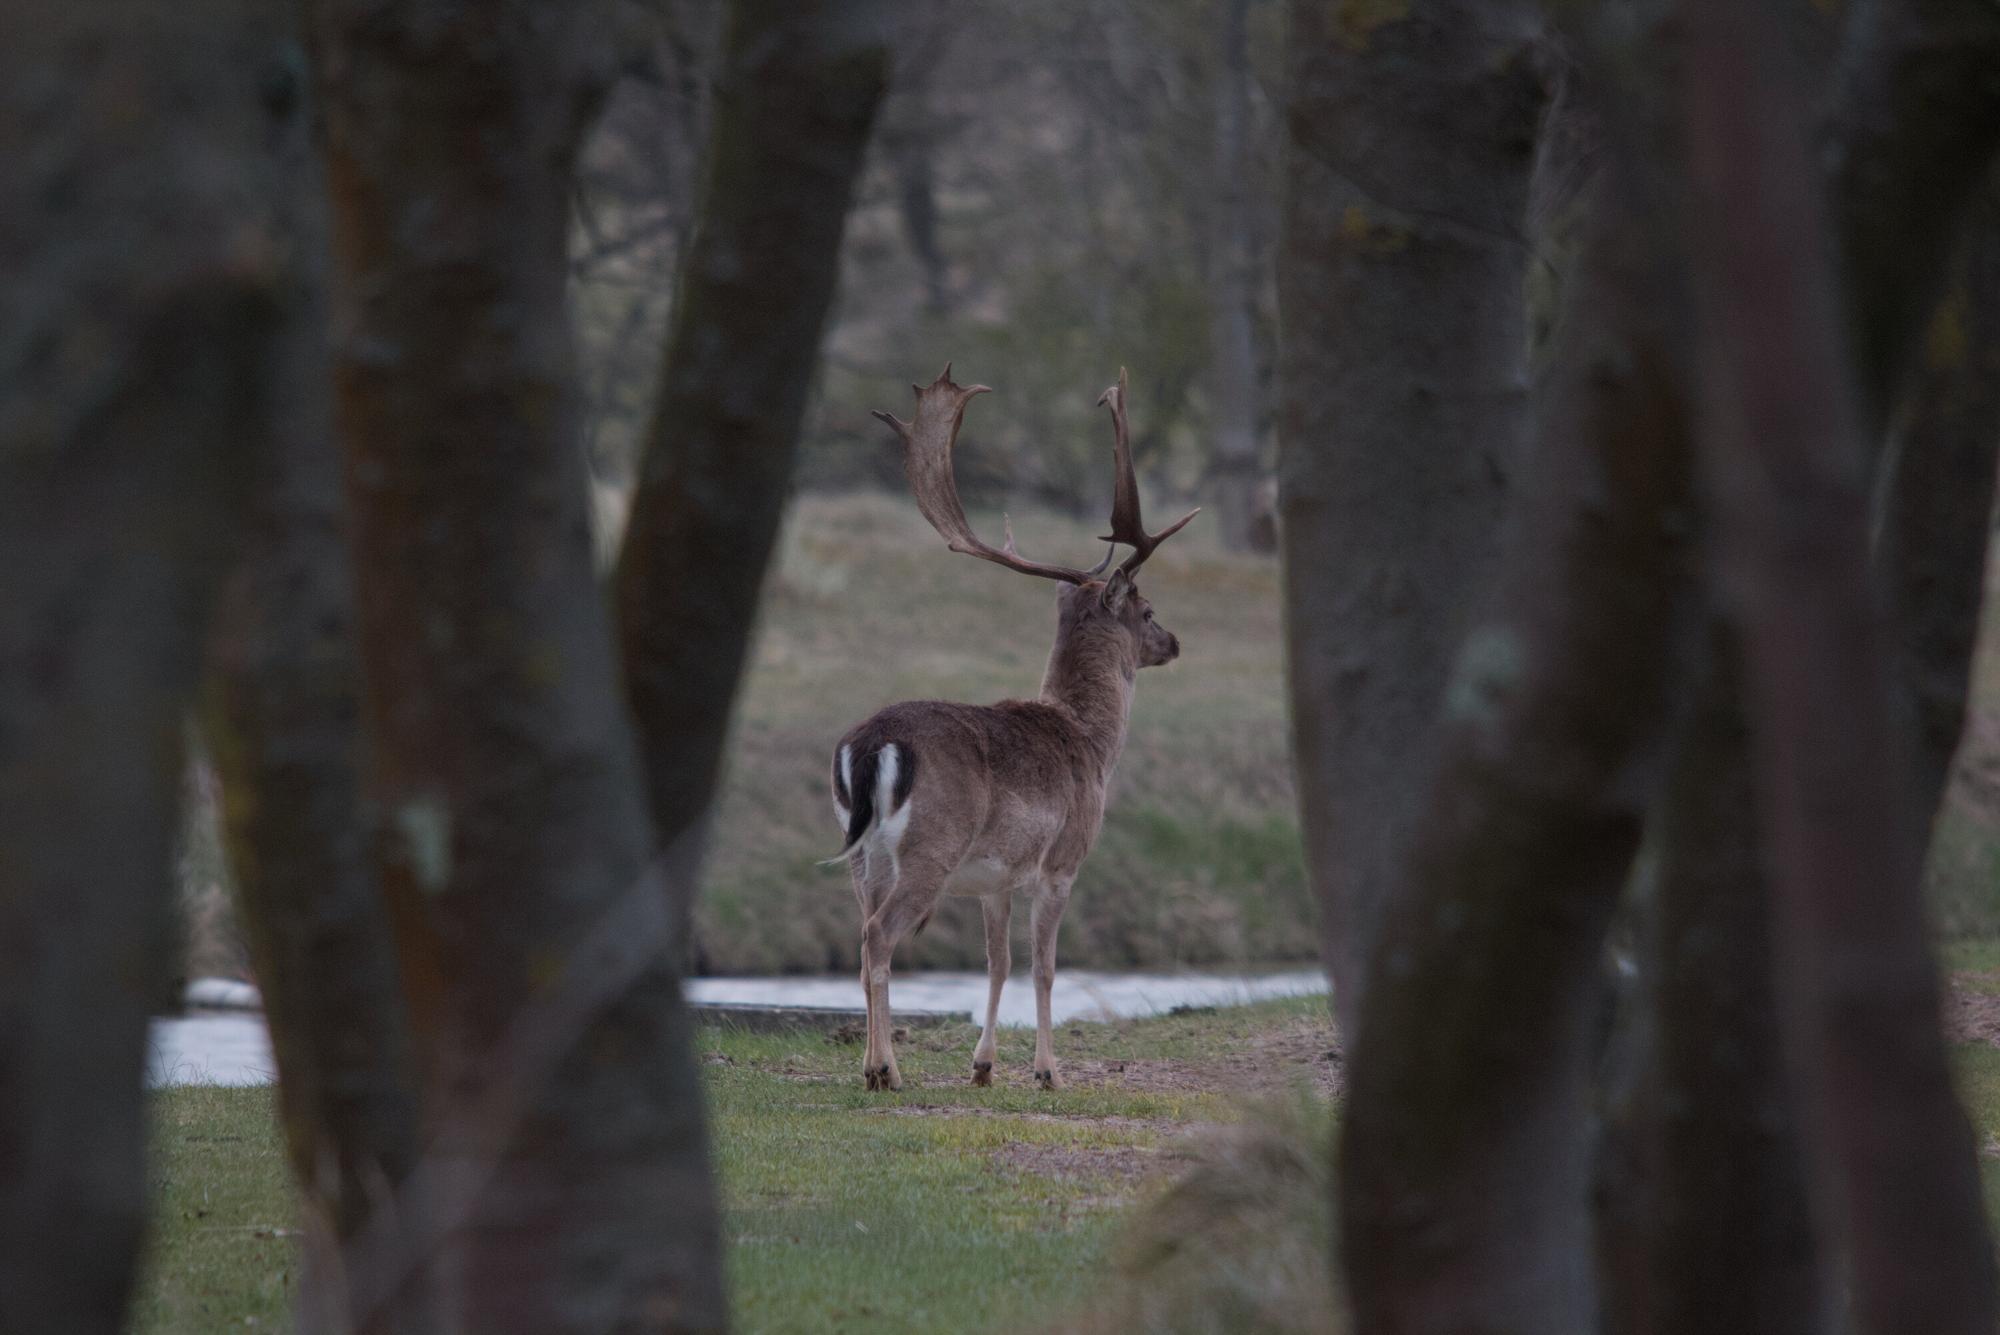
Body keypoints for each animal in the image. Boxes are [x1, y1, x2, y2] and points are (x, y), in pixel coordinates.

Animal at [828, 365, 1197, 1092]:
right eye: (1147, 608)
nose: (1173, 642)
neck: (1092, 743)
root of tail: (869, 745)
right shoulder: (1061, 862)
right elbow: (1044, 967)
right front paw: (1050, 1072)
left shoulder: (995, 879)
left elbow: (995, 963)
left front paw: (984, 1066)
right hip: (930, 848)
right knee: (879, 936)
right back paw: (885, 1070)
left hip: (861, 853)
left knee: (861, 936)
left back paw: (870, 1064)